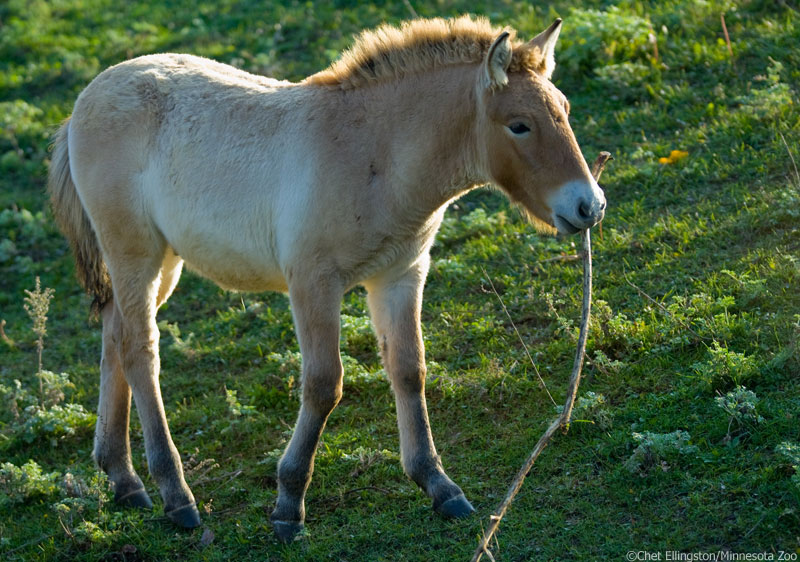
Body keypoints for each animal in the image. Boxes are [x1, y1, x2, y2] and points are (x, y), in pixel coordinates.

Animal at [45, 16, 608, 540]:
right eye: (519, 125)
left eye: (565, 109)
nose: (589, 206)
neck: (374, 152)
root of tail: (83, 102)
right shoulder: (313, 283)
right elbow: (323, 384)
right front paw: (288, 505)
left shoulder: (401, 276)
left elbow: (409, 370)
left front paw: (439, 485)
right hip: (135, 253)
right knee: (141, 350)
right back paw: (175, 496)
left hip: (162, 263)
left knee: (115, 336)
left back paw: (123, 480)